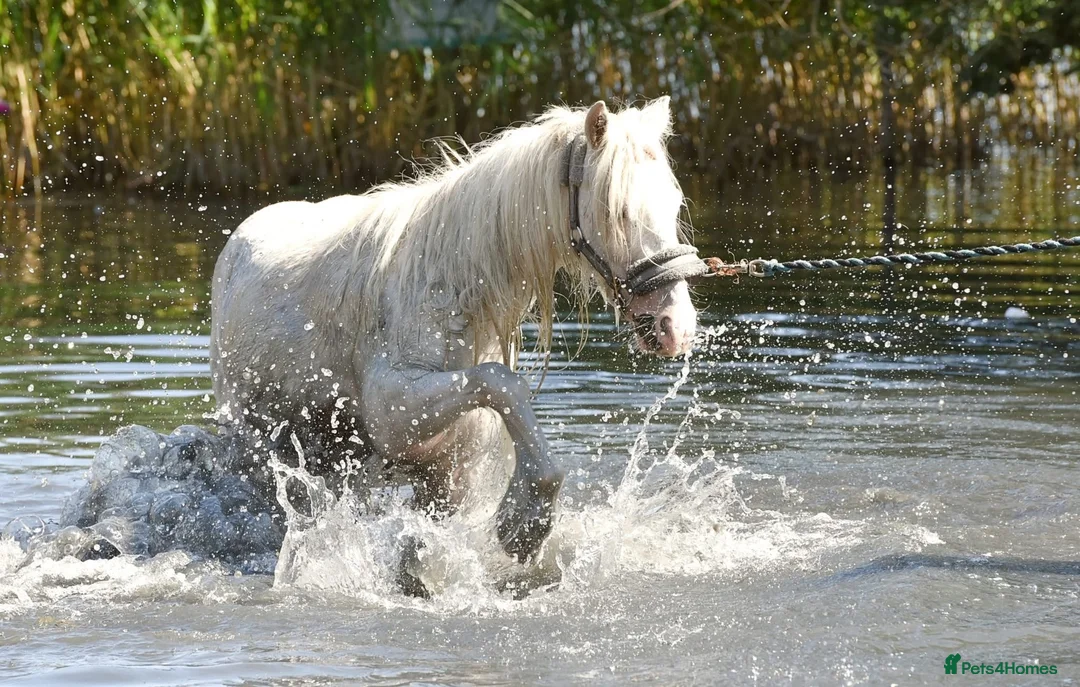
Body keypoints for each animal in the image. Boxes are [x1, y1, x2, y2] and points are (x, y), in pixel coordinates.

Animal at [209, 98, 700, 571]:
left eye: (675, 204)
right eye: (618, 212)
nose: (675, 327)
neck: (449, 282)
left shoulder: (449, 474)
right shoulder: (393, 410)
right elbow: (502, 382)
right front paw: (525, 520)